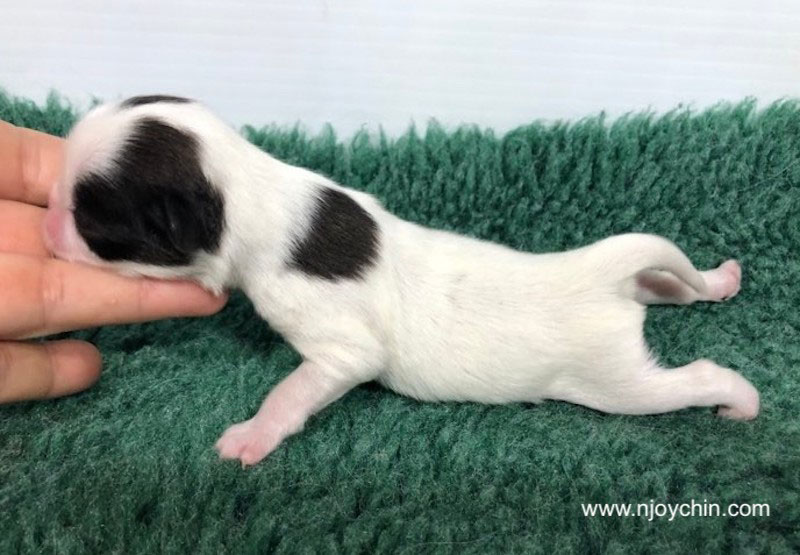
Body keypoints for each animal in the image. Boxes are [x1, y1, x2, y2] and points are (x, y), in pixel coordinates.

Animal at [43, 95, 760, 465]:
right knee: (672, 284)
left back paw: (740, 401)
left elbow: (295, 389)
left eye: (90, 217)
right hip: (642, 292)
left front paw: (252, 435)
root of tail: (594, 271)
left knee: (693, 378)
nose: (48, 220)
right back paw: (718, 279)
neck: (260, 189)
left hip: (616, 381)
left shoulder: (340, 347)